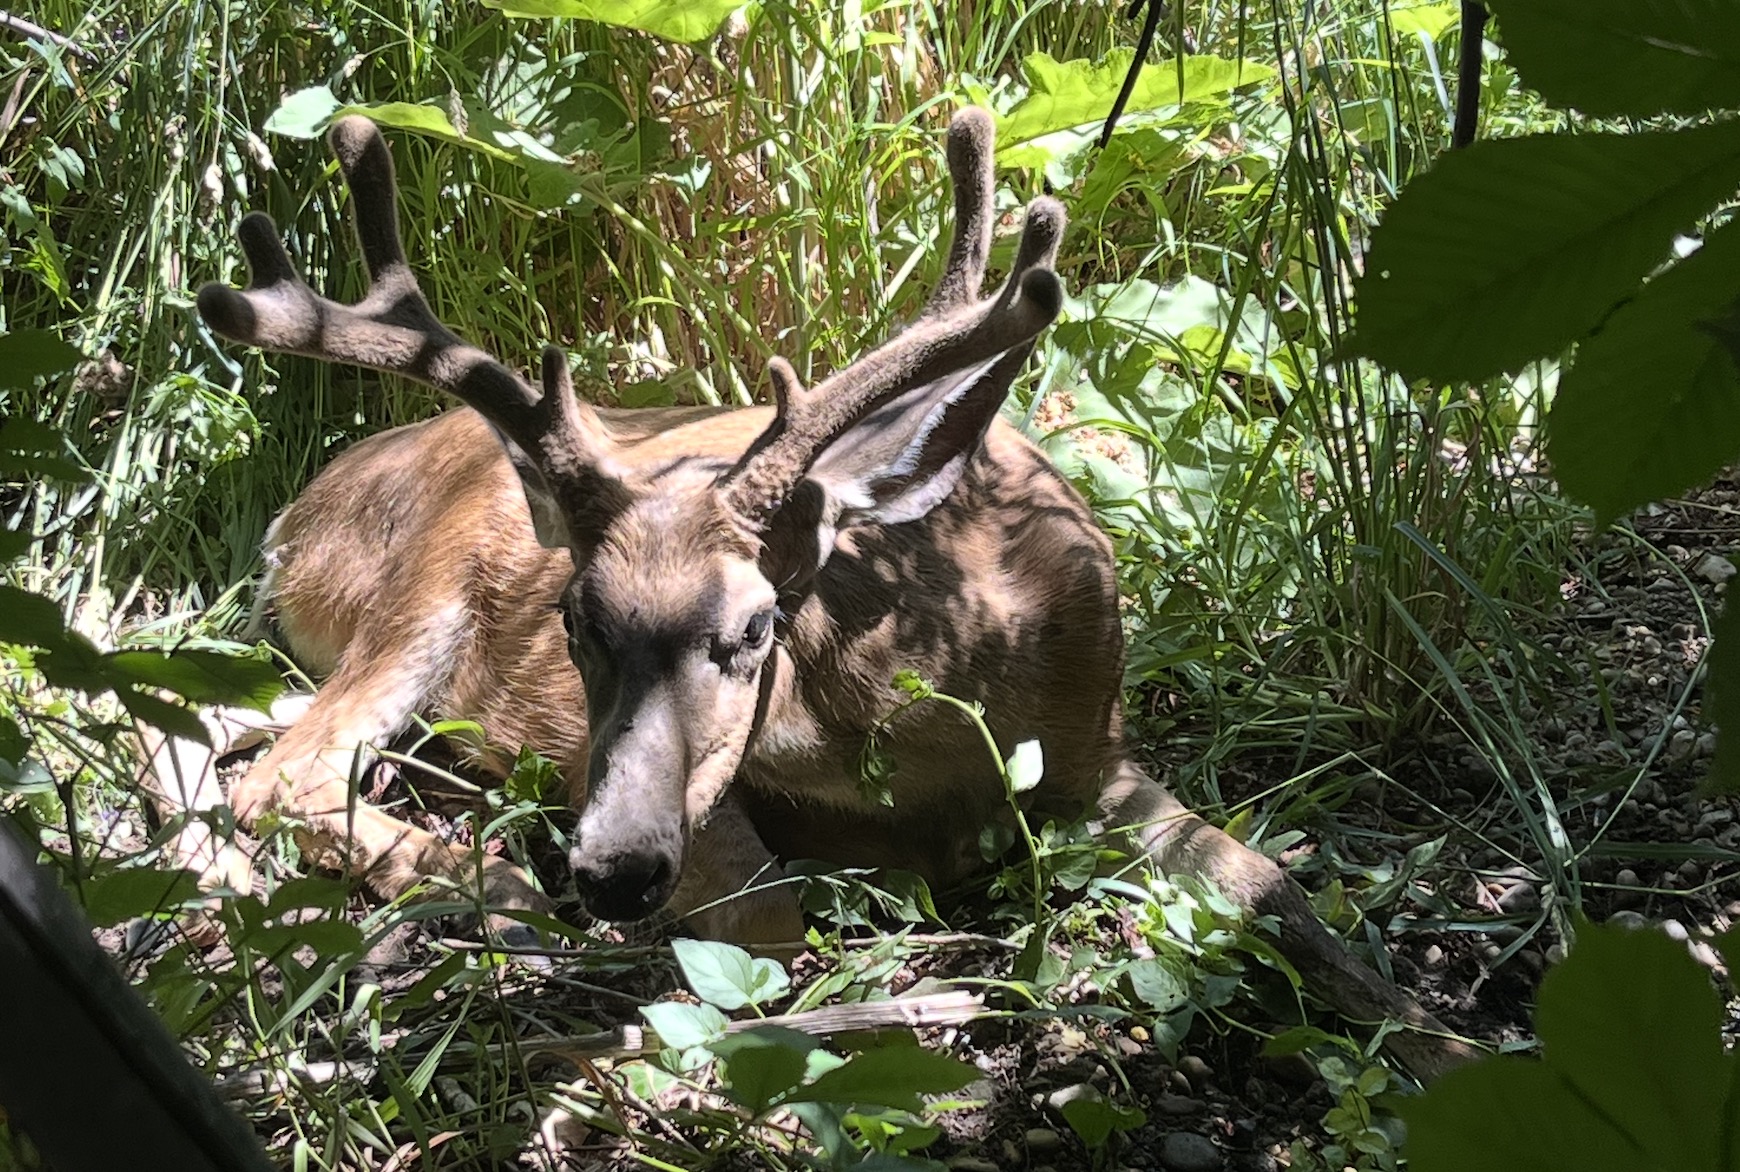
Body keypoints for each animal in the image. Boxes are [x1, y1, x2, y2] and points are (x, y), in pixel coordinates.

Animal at [184, 109, 1475, 1081]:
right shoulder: (630, 763)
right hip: (424, 592)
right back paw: (497, 882)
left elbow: (1274, 882)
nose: (611, 870)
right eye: (572, 621)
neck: (916, 726)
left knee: (230, 721)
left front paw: (1447, 1041)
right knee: (288, 769)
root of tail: (304, 511)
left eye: (756, 624)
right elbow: (770, 917)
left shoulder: (1101, 748)